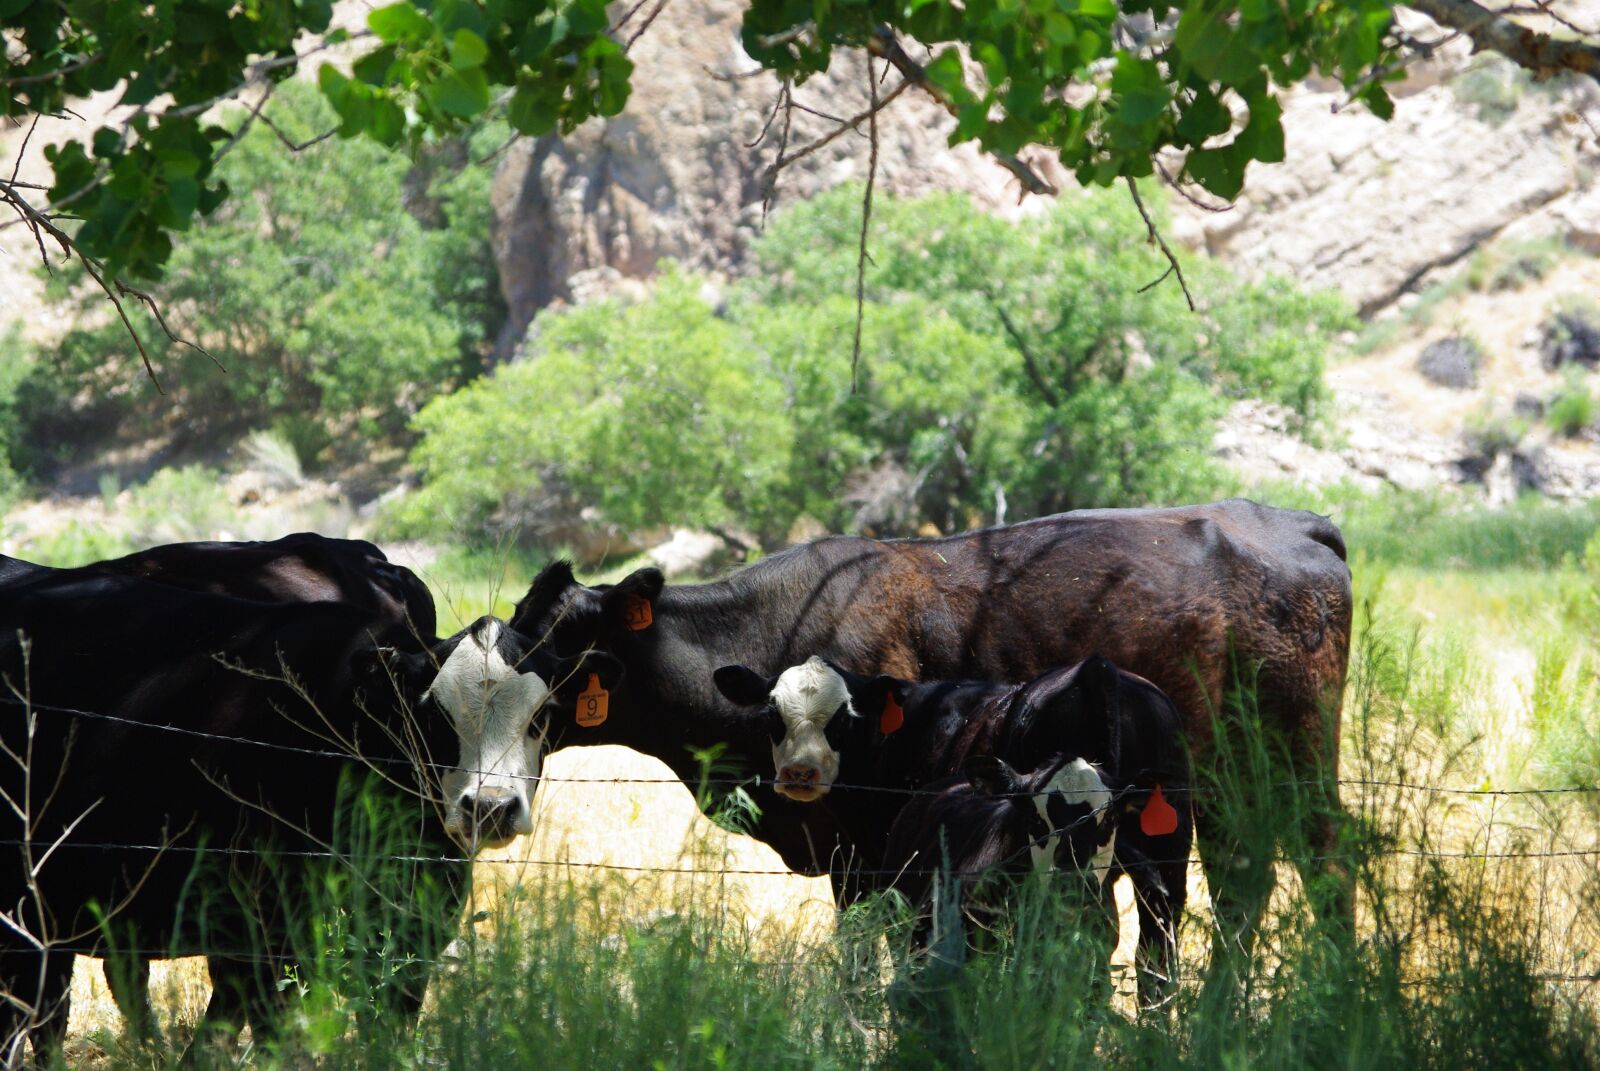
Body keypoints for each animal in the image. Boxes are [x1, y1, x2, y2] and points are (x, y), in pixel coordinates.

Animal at [508, 496, 1350, 954]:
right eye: (520, 613)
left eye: (567, 635)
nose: (493, 661)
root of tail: (1293, 522)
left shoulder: (863, 847)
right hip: (1227, 786)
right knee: (1243, 886)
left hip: (1299, 765)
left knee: (1322, 872)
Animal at [713, 656, 1190, 998]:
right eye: (772, 715)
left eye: (843, 718)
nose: (799, 773)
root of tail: (1096, 669)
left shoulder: (874, 869)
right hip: (1169, 867)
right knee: (1155, 966)